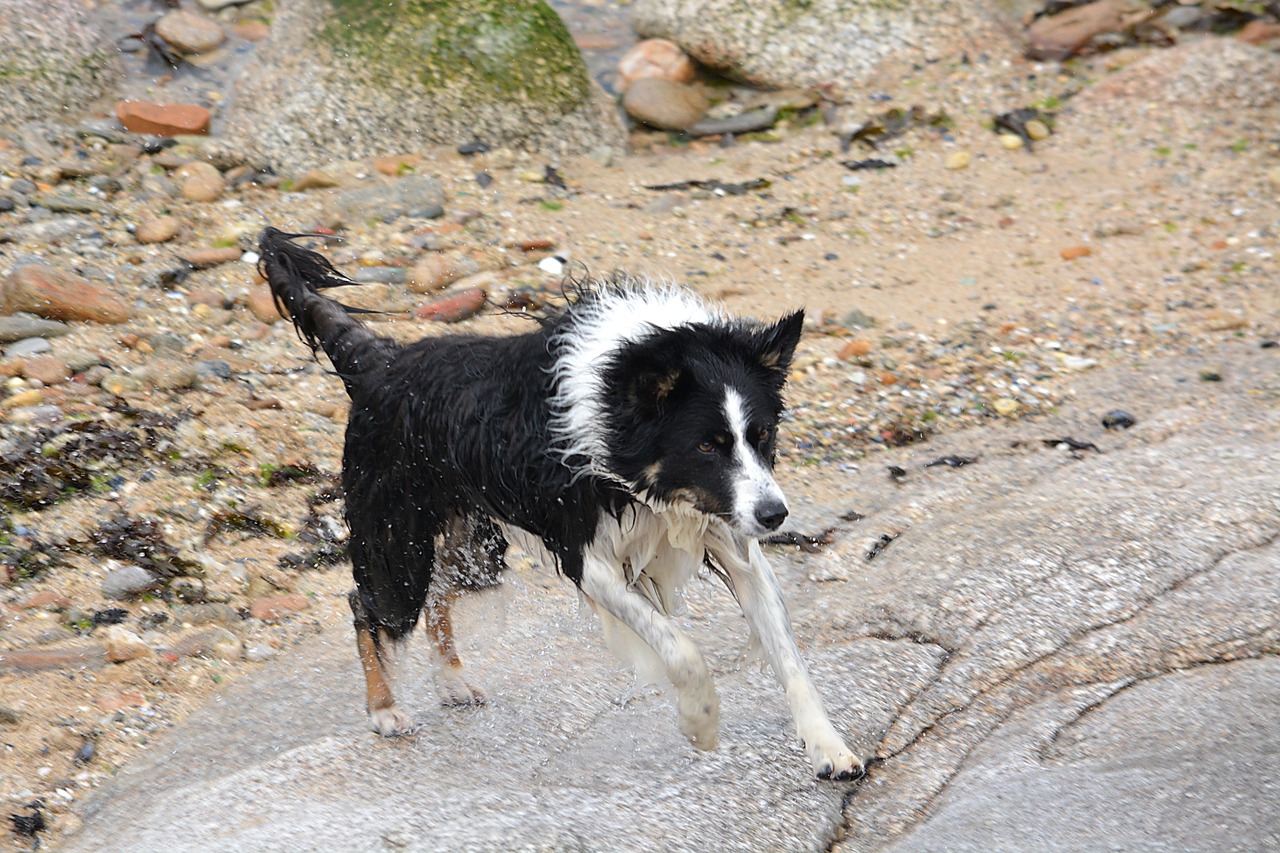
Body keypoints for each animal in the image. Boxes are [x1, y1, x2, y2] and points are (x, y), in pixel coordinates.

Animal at [256, 224, 865, 778]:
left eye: (762, 436)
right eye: (706, 445)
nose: (776, 516)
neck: (618, 405)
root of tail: (381, 365)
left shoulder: (730, 530)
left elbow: (787, 652)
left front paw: (829, 748)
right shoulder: (583, 550)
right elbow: (678, 647)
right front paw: (702, 722)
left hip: (477, 547)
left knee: (440, 594)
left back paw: (452, 679)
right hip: (398, 540)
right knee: (368, 606)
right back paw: (384, 710)